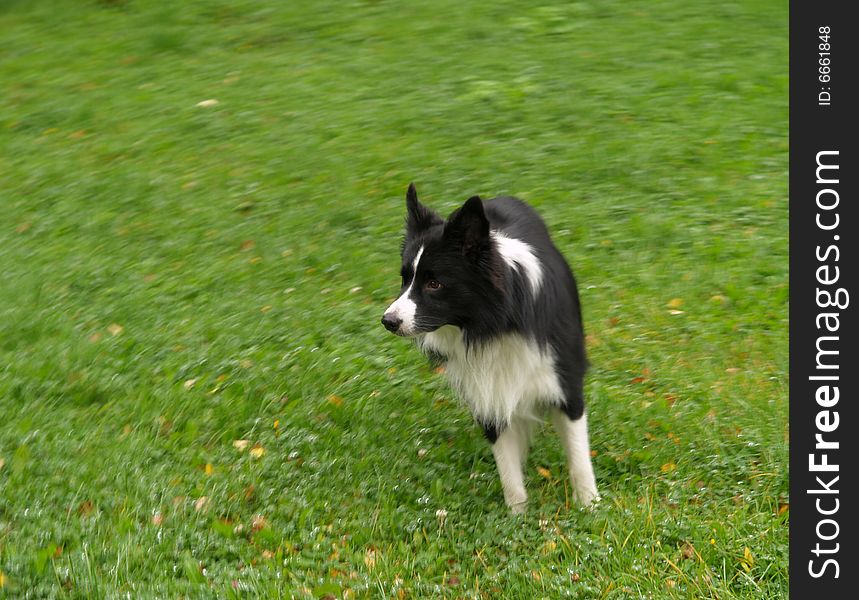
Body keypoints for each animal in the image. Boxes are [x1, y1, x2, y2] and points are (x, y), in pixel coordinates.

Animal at [382, 185, 596, 512]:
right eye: (405, 279)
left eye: (434, 283)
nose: (388, 321)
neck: (495, 325)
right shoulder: (487, 390)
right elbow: (508, 468)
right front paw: (518, 514)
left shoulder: (565, 383)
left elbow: (578, 456)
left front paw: (590, 506)